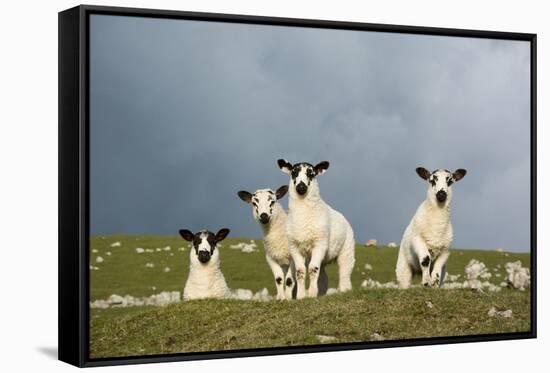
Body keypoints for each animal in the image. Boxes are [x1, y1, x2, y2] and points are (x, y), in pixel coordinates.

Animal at [278, 158, 356, 298]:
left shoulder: (320, 243)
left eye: (311, 173)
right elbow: (300, 271)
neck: (303, 217)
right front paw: (301, 296)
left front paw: (312, 294)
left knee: (345, 271)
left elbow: (313, 269)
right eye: (293, 173)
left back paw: (344, 290)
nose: (301, 187)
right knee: (323, 276)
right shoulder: (294, 247)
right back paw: (322, 293)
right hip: (324, 259)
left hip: (347, 249)